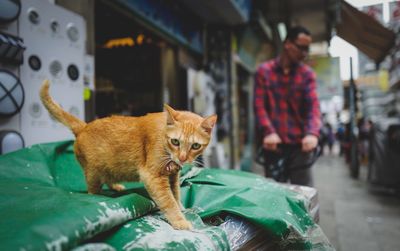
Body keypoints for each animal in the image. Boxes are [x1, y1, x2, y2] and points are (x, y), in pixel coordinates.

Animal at [39, 80, 217, 229]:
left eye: (195, 146)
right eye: (175, 142)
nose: (182, 158)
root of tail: (84, 126)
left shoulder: (172, 176)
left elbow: (176, 194)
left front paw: (181, 208)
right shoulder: (153, 176)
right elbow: (168, 201)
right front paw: (180, 221)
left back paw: (116, 186)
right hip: (93, 174)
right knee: (92, 190)